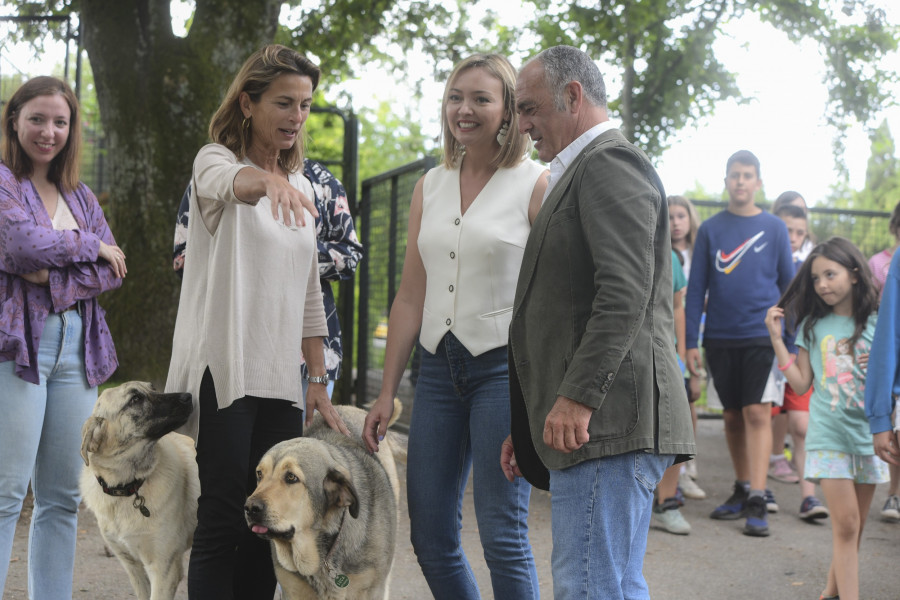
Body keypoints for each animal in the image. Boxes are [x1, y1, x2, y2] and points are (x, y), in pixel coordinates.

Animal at [79, 384, 199, 600]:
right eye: (135, 399)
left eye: (154, 388)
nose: (188, 396)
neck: (129, 486)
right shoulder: (133, 567)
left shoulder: (164, 569)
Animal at [244, 400, 402, 596]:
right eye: (259, 474)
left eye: (291, 477)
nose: (250, 508)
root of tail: (348, 406)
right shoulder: (292, 589)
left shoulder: (372, 589)